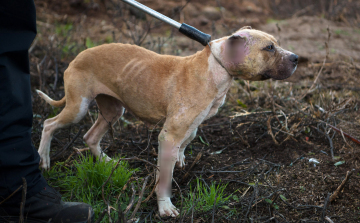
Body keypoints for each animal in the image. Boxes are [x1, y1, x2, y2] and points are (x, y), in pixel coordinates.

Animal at [35, 27, 298, 217]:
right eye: (269, 48)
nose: (296, 57)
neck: (216, 67)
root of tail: (78, 55)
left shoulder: (191, 125)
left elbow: (188, 139)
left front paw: (180, 159)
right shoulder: (169, 135)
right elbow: (164, 179)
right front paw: (164, 207)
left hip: (113, 110)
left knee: (90, 136)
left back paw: (108, 163)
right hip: (77, 108)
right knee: (49, 124)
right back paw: (44, 159)